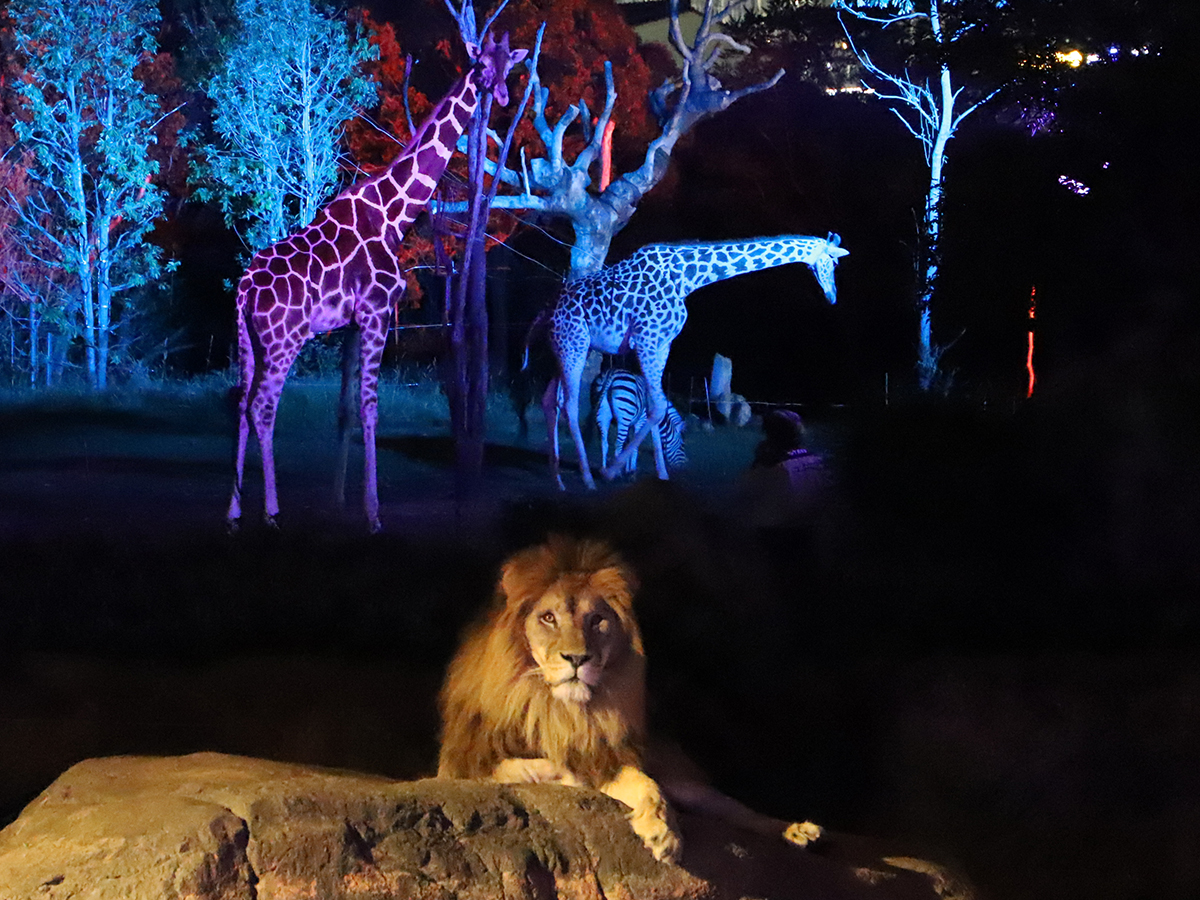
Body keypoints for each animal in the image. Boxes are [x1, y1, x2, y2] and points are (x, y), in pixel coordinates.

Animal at [436, 540, 820, 864]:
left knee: (733, 808)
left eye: (597, 620)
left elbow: (646, 785)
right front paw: (560, 775)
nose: (577, 658)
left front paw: (664, 833)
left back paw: (798, 831)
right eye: (548, 618)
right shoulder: (460, 765)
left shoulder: (608, 757)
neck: (558, 708)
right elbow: (519, 768)